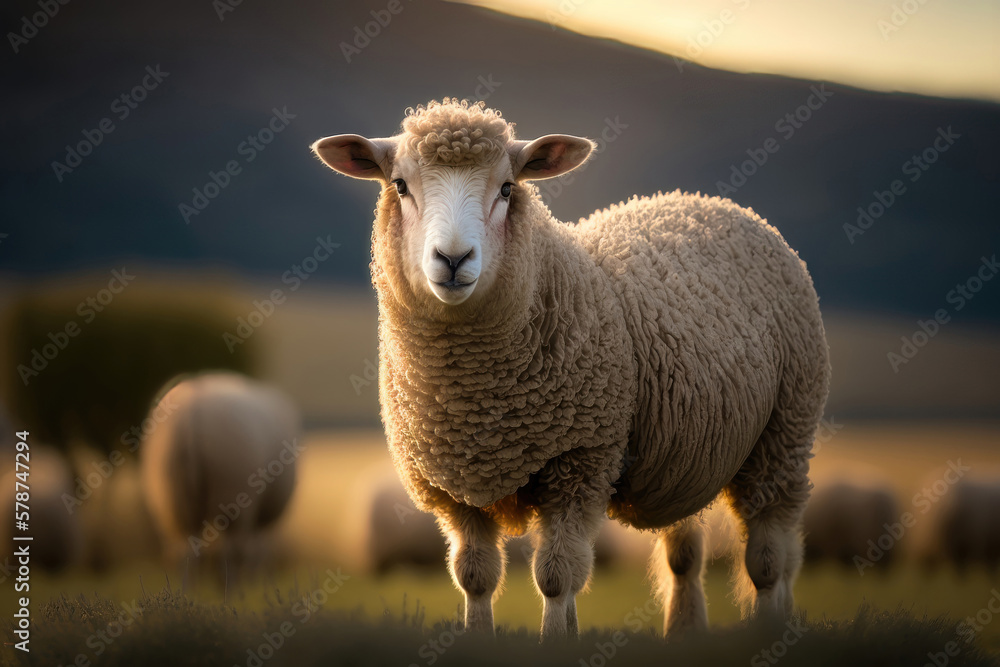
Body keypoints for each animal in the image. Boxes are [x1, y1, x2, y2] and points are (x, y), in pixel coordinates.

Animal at [140, 372, 301, 586]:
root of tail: (191, 409)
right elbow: (255, 549)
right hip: (233, 492)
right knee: (231, 550)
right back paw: (230, 587)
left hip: (169, 498)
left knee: (184, 551)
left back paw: (188, 591)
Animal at [311, 98, 830, 639]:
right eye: (400, 185)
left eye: (507, 188)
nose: (453, 259)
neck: (477, 401)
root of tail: (710, 201)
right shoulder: (458, 484)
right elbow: (474, 577)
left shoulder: (580, 462)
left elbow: (556, 578)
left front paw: (558, 639)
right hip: (688, 453)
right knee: (685, 554)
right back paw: (684, 630)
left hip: (784, 432)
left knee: (770, 559)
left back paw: (770, 626)